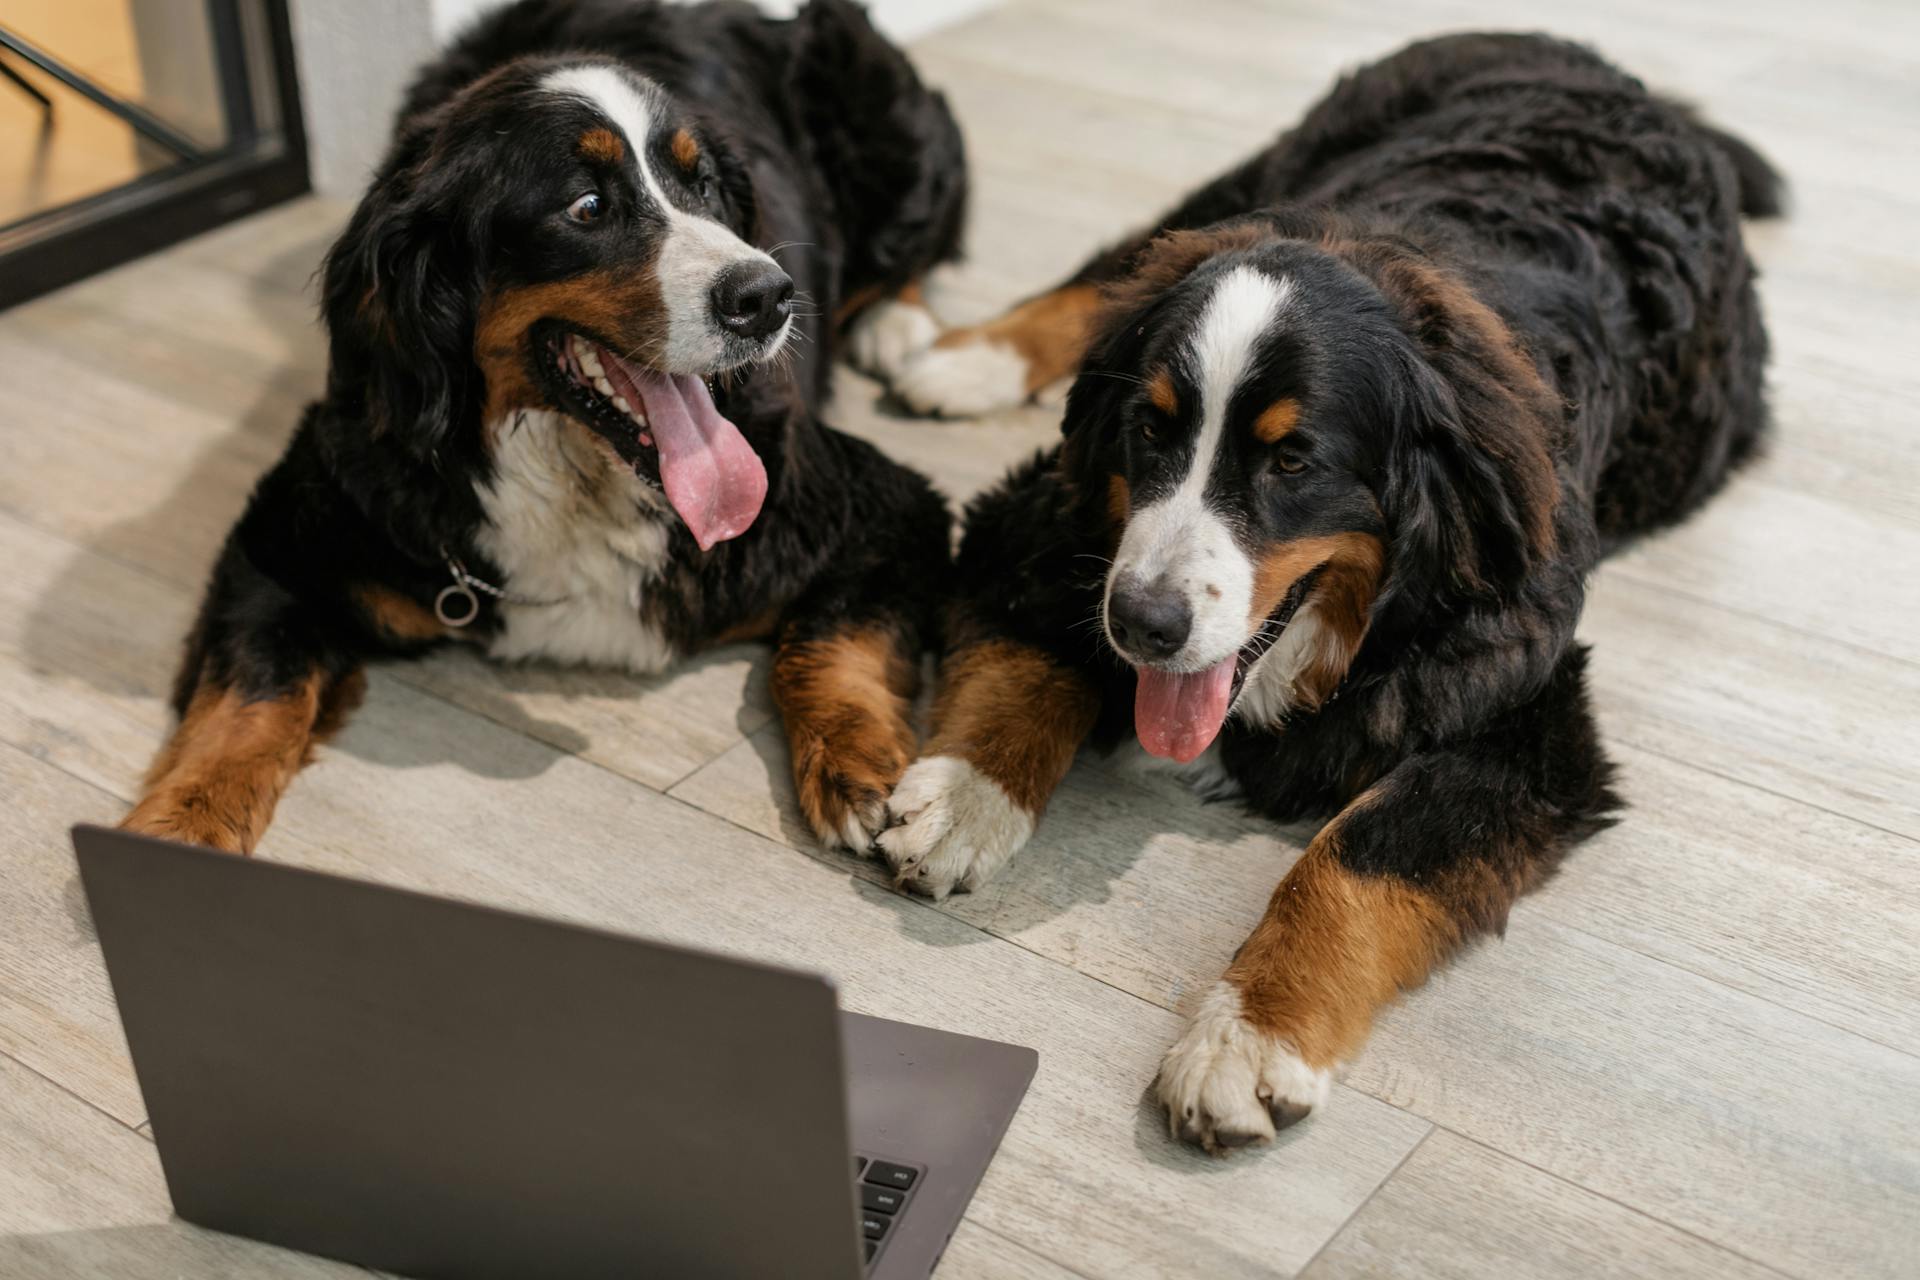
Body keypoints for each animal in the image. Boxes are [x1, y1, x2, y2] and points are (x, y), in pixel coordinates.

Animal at [112, 2, 967, 859]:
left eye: (705, 186)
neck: (578, 481)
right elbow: (249, 700)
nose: (768, 296)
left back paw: (900, 329)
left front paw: (855, 765)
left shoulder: (881, 505)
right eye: (586, 207)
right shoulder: (283, 543)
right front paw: (179, 827)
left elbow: (831, 642)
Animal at [864, 29, 1774, 1151]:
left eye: (1292, 462)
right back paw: (964, 357)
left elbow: (1361, 853)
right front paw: (966, 797)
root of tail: (1604, 69)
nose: (1142, 623)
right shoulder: (1036, 522)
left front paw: (1251, 1035)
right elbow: (1032, 664)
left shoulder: (1528, 720)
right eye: (1150, 429)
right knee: (1111, 275)